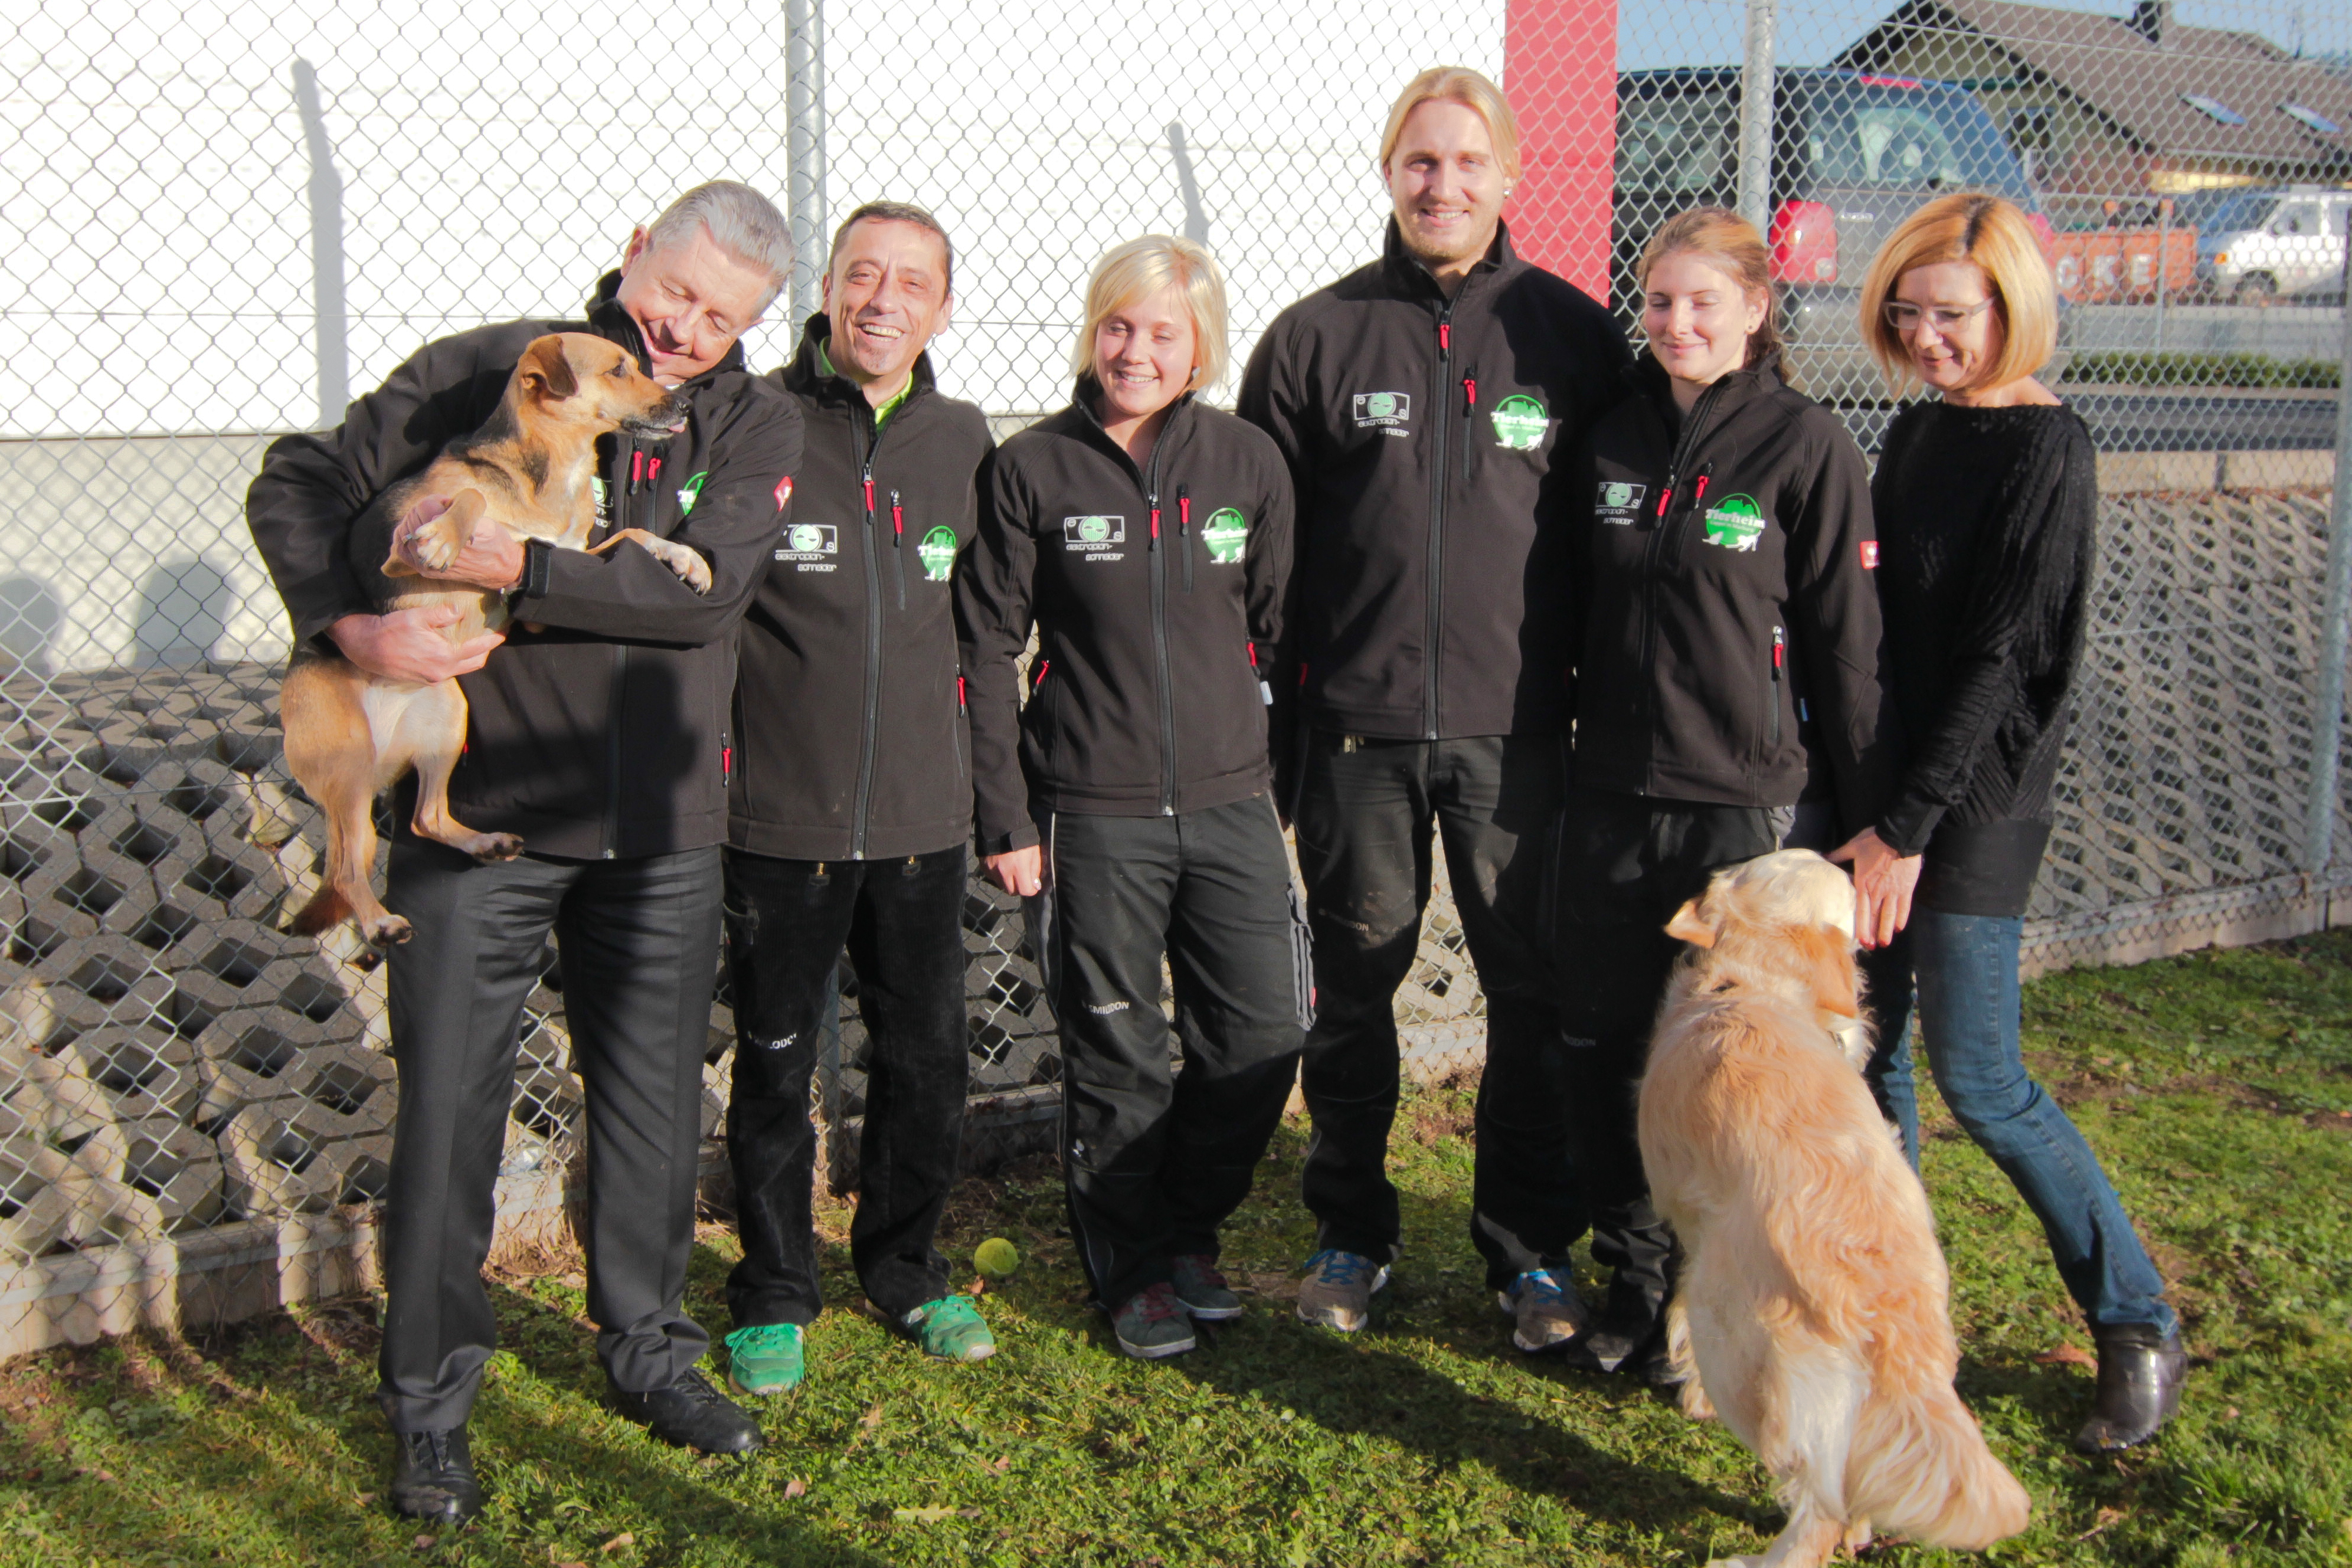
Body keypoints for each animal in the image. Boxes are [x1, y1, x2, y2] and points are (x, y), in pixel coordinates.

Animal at [277, 333, 705, 945]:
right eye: (619, 369)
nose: (685, 406)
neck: (559, 467)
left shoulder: (553, 572)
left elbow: (630, 534)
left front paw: (686, 557)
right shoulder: (398, 549)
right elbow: (472, 501)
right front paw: (444, 538)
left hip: (445, 719)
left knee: (424, 818)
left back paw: (482, 841)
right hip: (347, 765)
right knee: (343, 870)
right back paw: (379, 921)